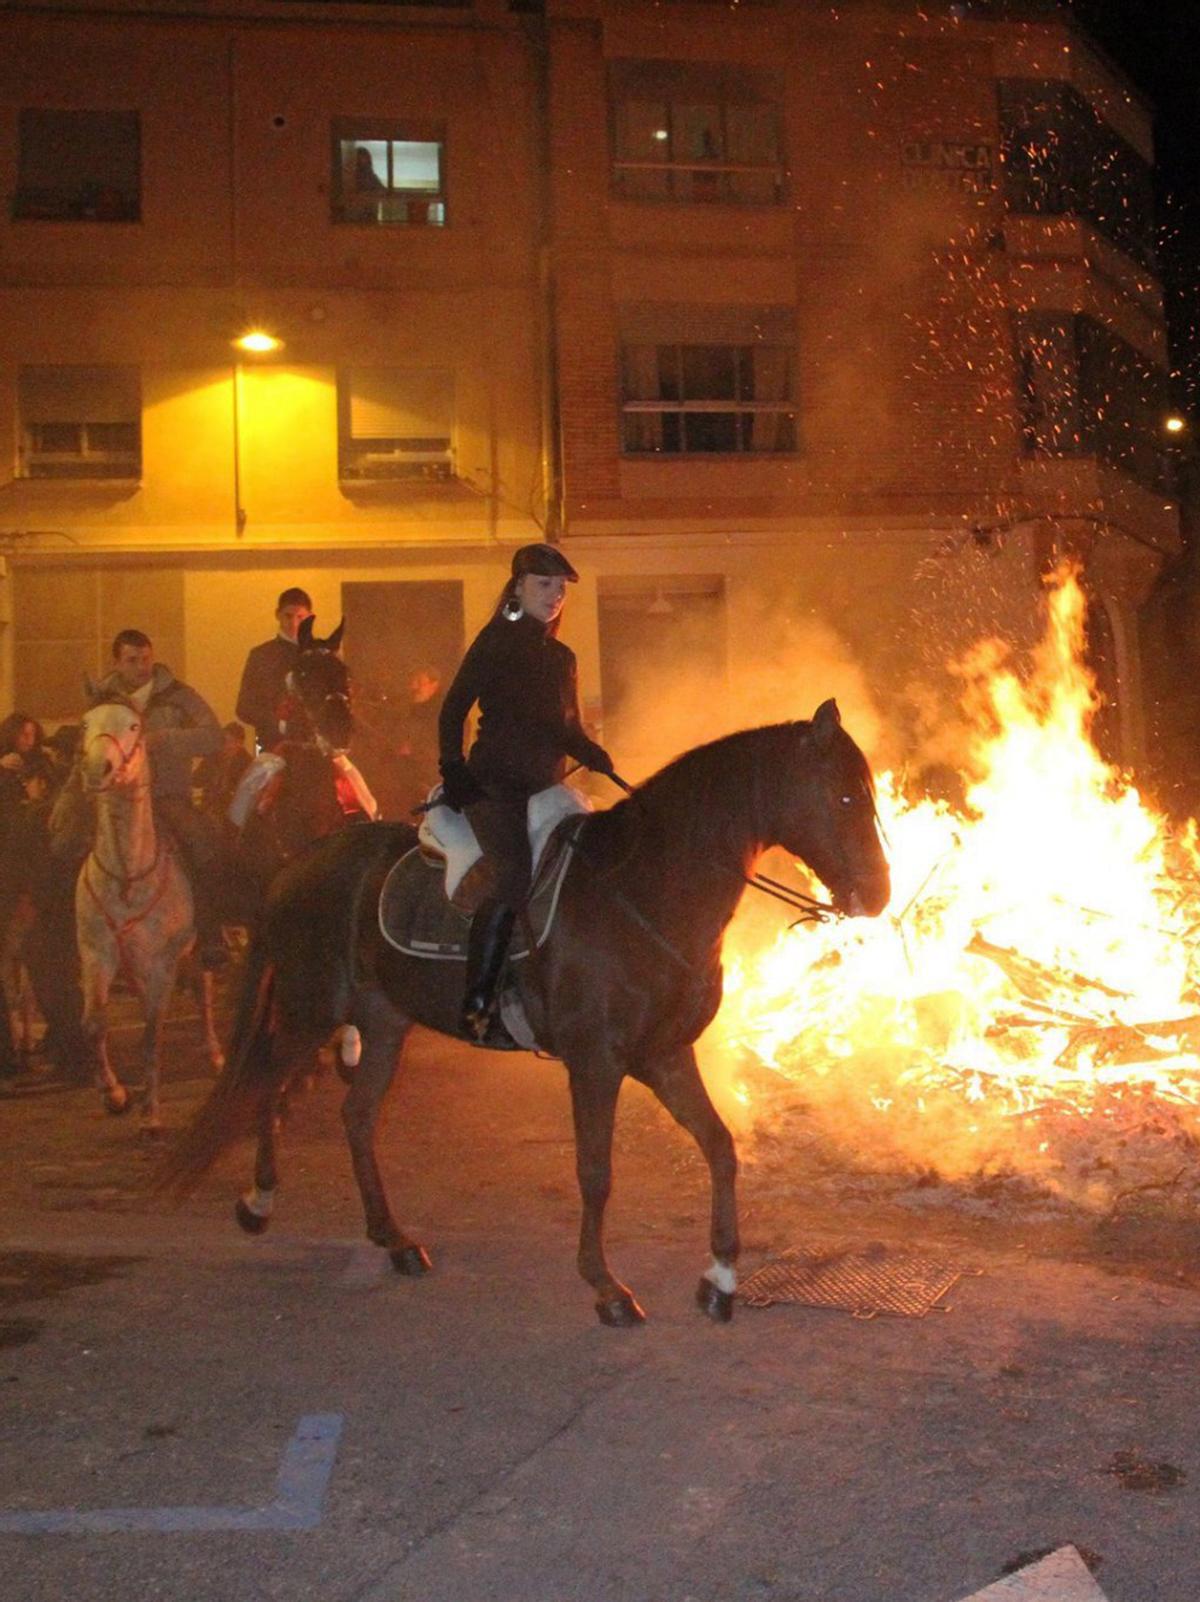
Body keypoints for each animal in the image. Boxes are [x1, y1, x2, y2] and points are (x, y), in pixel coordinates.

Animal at [73, 698, 224, 1127]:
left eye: (134, 726)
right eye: (86, 723)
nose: (97, 768)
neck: (127, 877)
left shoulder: (162, 966)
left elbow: (152, 1036)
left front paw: (151, 1117)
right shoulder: (97, 954)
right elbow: (94, 1024)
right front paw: (115, 1094)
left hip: (195, 952)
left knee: (204, 991)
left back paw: (215, 1054)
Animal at [164, 704, 884, 1326]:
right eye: (846, 797)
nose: (877, 895)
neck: (643, 890)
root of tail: (295, 863)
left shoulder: (664, 1056)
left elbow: (720, 1148)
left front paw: (720, 1278)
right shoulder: (595, 1064)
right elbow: (595, 1173)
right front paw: (606, 1287)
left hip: (383, 1023)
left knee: (357, 1115)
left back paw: (392, 1238)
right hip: (308, 1009)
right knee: (266, 1087)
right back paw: (258, 1201)